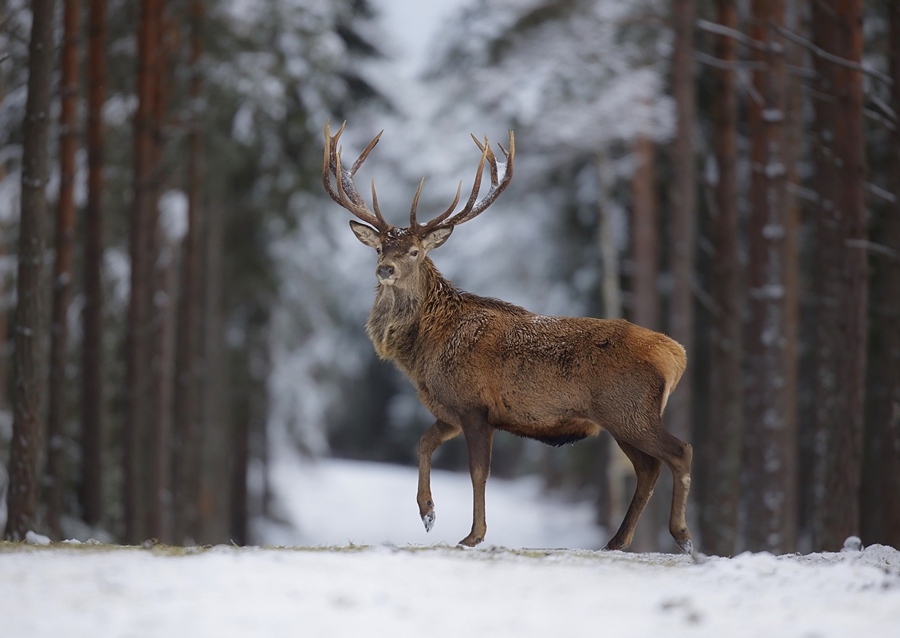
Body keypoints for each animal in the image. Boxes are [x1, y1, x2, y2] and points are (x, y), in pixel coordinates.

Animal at [322, 120, 694, 554]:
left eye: (414, 251)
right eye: (380, 247)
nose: (385, 269)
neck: (424, 351)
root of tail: (676, 354)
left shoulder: (474, 406)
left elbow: (477, 472)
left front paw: (473, 534)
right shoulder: (451, 409)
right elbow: (423, 442)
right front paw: (428, 513)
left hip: (629, 409)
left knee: (678, 451)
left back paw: (681, 535)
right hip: (623, 418)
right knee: (648, 468)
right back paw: (617, 541)